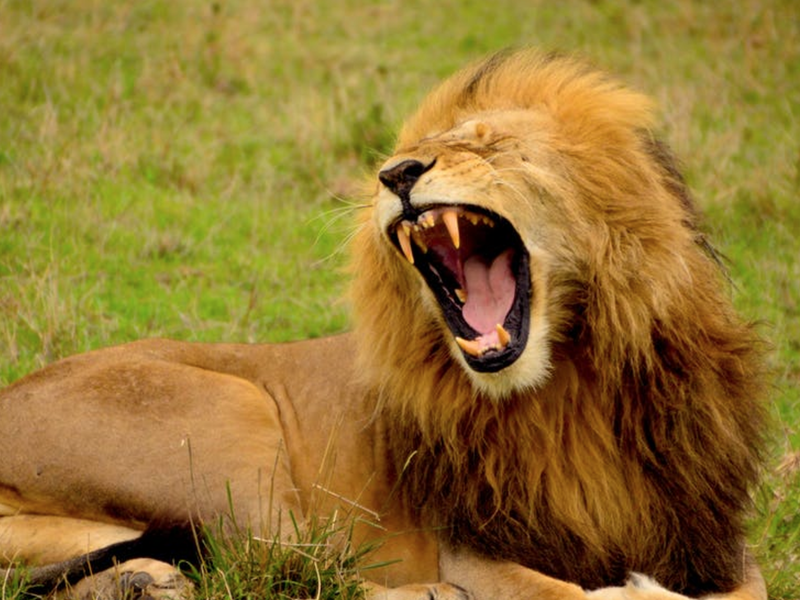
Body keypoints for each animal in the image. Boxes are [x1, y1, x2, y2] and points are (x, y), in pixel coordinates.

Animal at [0, 49, 768, 600]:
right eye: (416, 148)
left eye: (490, 144)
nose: (395, 173)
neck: (572, 384)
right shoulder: (475, 549)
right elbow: (567, 595)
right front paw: (629, 591)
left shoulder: (711, 536)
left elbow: (748, 592)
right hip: (232, 417)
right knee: (289, 569)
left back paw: (141, 583)